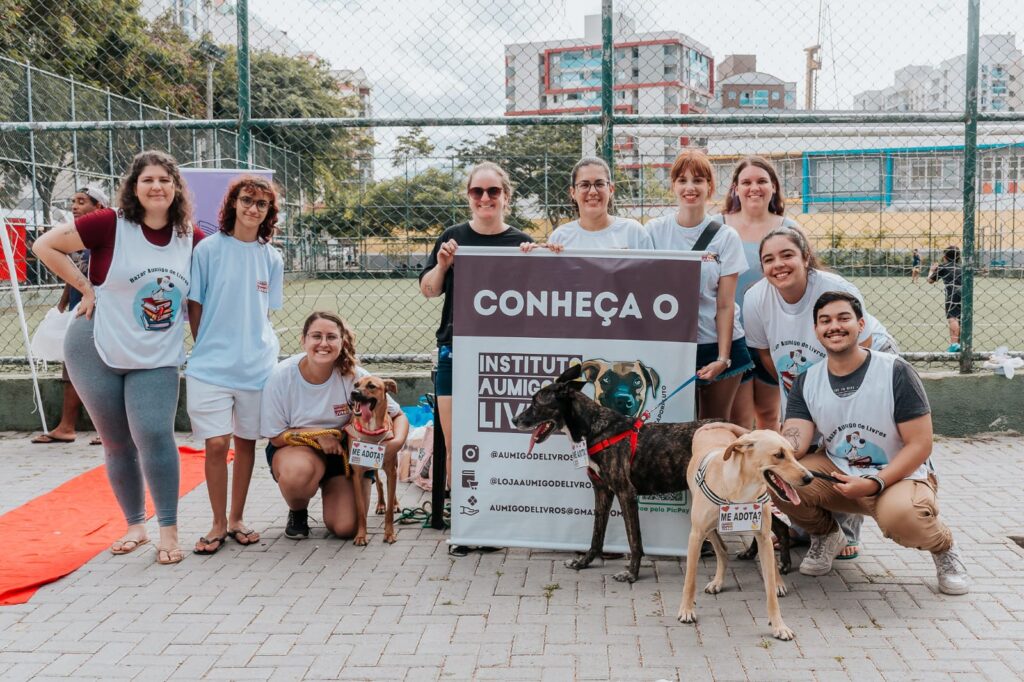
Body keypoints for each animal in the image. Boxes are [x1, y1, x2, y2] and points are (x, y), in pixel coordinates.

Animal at [344, 374, 399, 544]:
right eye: (356, 384)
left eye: (371, 386)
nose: (354, 393)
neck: (371, 429)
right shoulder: (356, 475)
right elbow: (361, 510)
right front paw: (361, 535)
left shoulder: (391, 470)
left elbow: (390, 510)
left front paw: (389, 533)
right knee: (379, 483)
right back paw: (381, 504)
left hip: (394, 465)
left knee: (392, 489)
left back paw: (395, 503)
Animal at [516, 360, 708, 577]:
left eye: (536, 403)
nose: (514, 420)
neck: (593, 428)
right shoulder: (602, 490)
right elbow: (597, 535)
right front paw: (583, 562)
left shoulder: (625, 492)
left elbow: (634, 539)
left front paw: (632, 573)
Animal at [675, 421, 811, 638]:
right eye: (778, 454)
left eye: (792, 452)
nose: (809, 478)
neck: (741, 489)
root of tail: (713, 425)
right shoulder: (696, 535)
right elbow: (690, 579)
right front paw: (687, 610)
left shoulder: (763, 536)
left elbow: (770, 588)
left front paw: (779, 625)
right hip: (708, 528)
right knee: (722, 550)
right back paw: (718, 581)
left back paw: (779, 581)